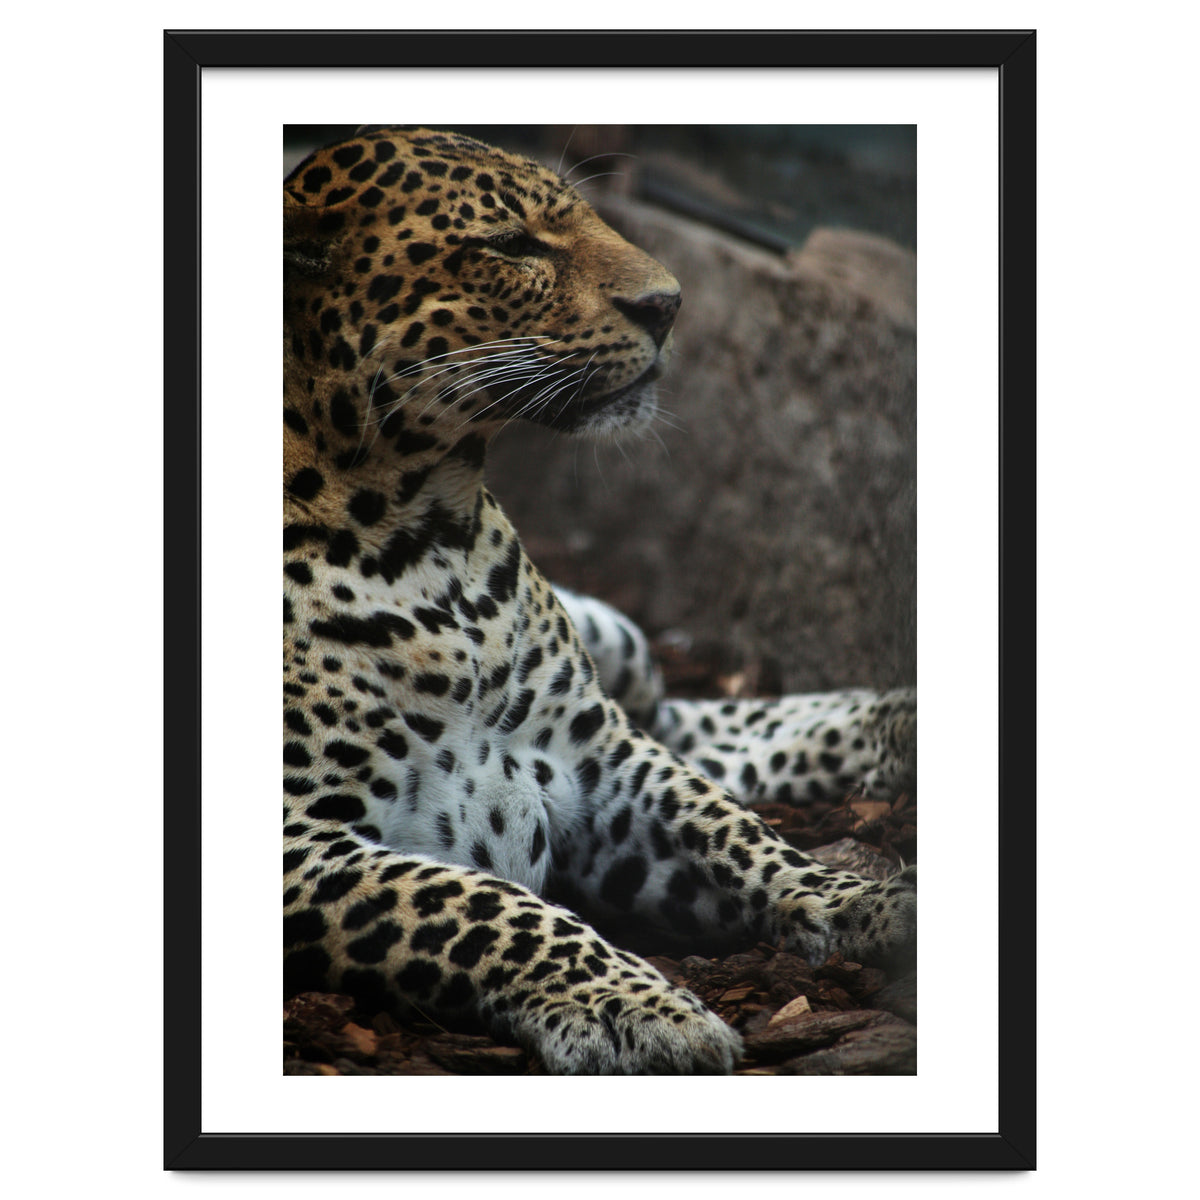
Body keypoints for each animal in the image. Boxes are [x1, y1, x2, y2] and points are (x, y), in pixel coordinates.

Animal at [283, 126, 917, 1075]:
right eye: (511, 245)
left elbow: (733, 829)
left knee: (686, 723)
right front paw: (638, 1008)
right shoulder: (298, 842)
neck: (427, 535)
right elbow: (482, 906)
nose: (670, 304)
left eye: (581, 216)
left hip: (620, 654)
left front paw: (865, 902)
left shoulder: (597, 757)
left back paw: (897, 721)